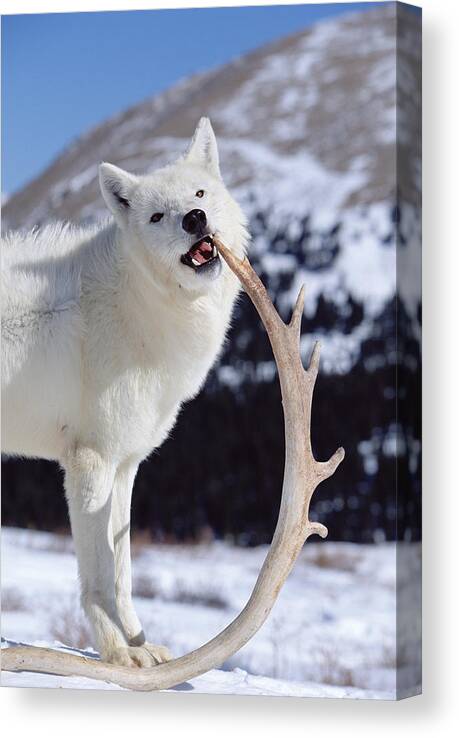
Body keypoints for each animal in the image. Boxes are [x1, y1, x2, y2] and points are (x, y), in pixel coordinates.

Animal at [1, 118, 250, 664]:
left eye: (199, 193)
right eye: (157, 216)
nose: (195, 219)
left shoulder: (125, 464)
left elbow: (124, 572)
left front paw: (142, 646)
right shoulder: (89, 462)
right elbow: (97, 575)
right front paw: (118, 653)